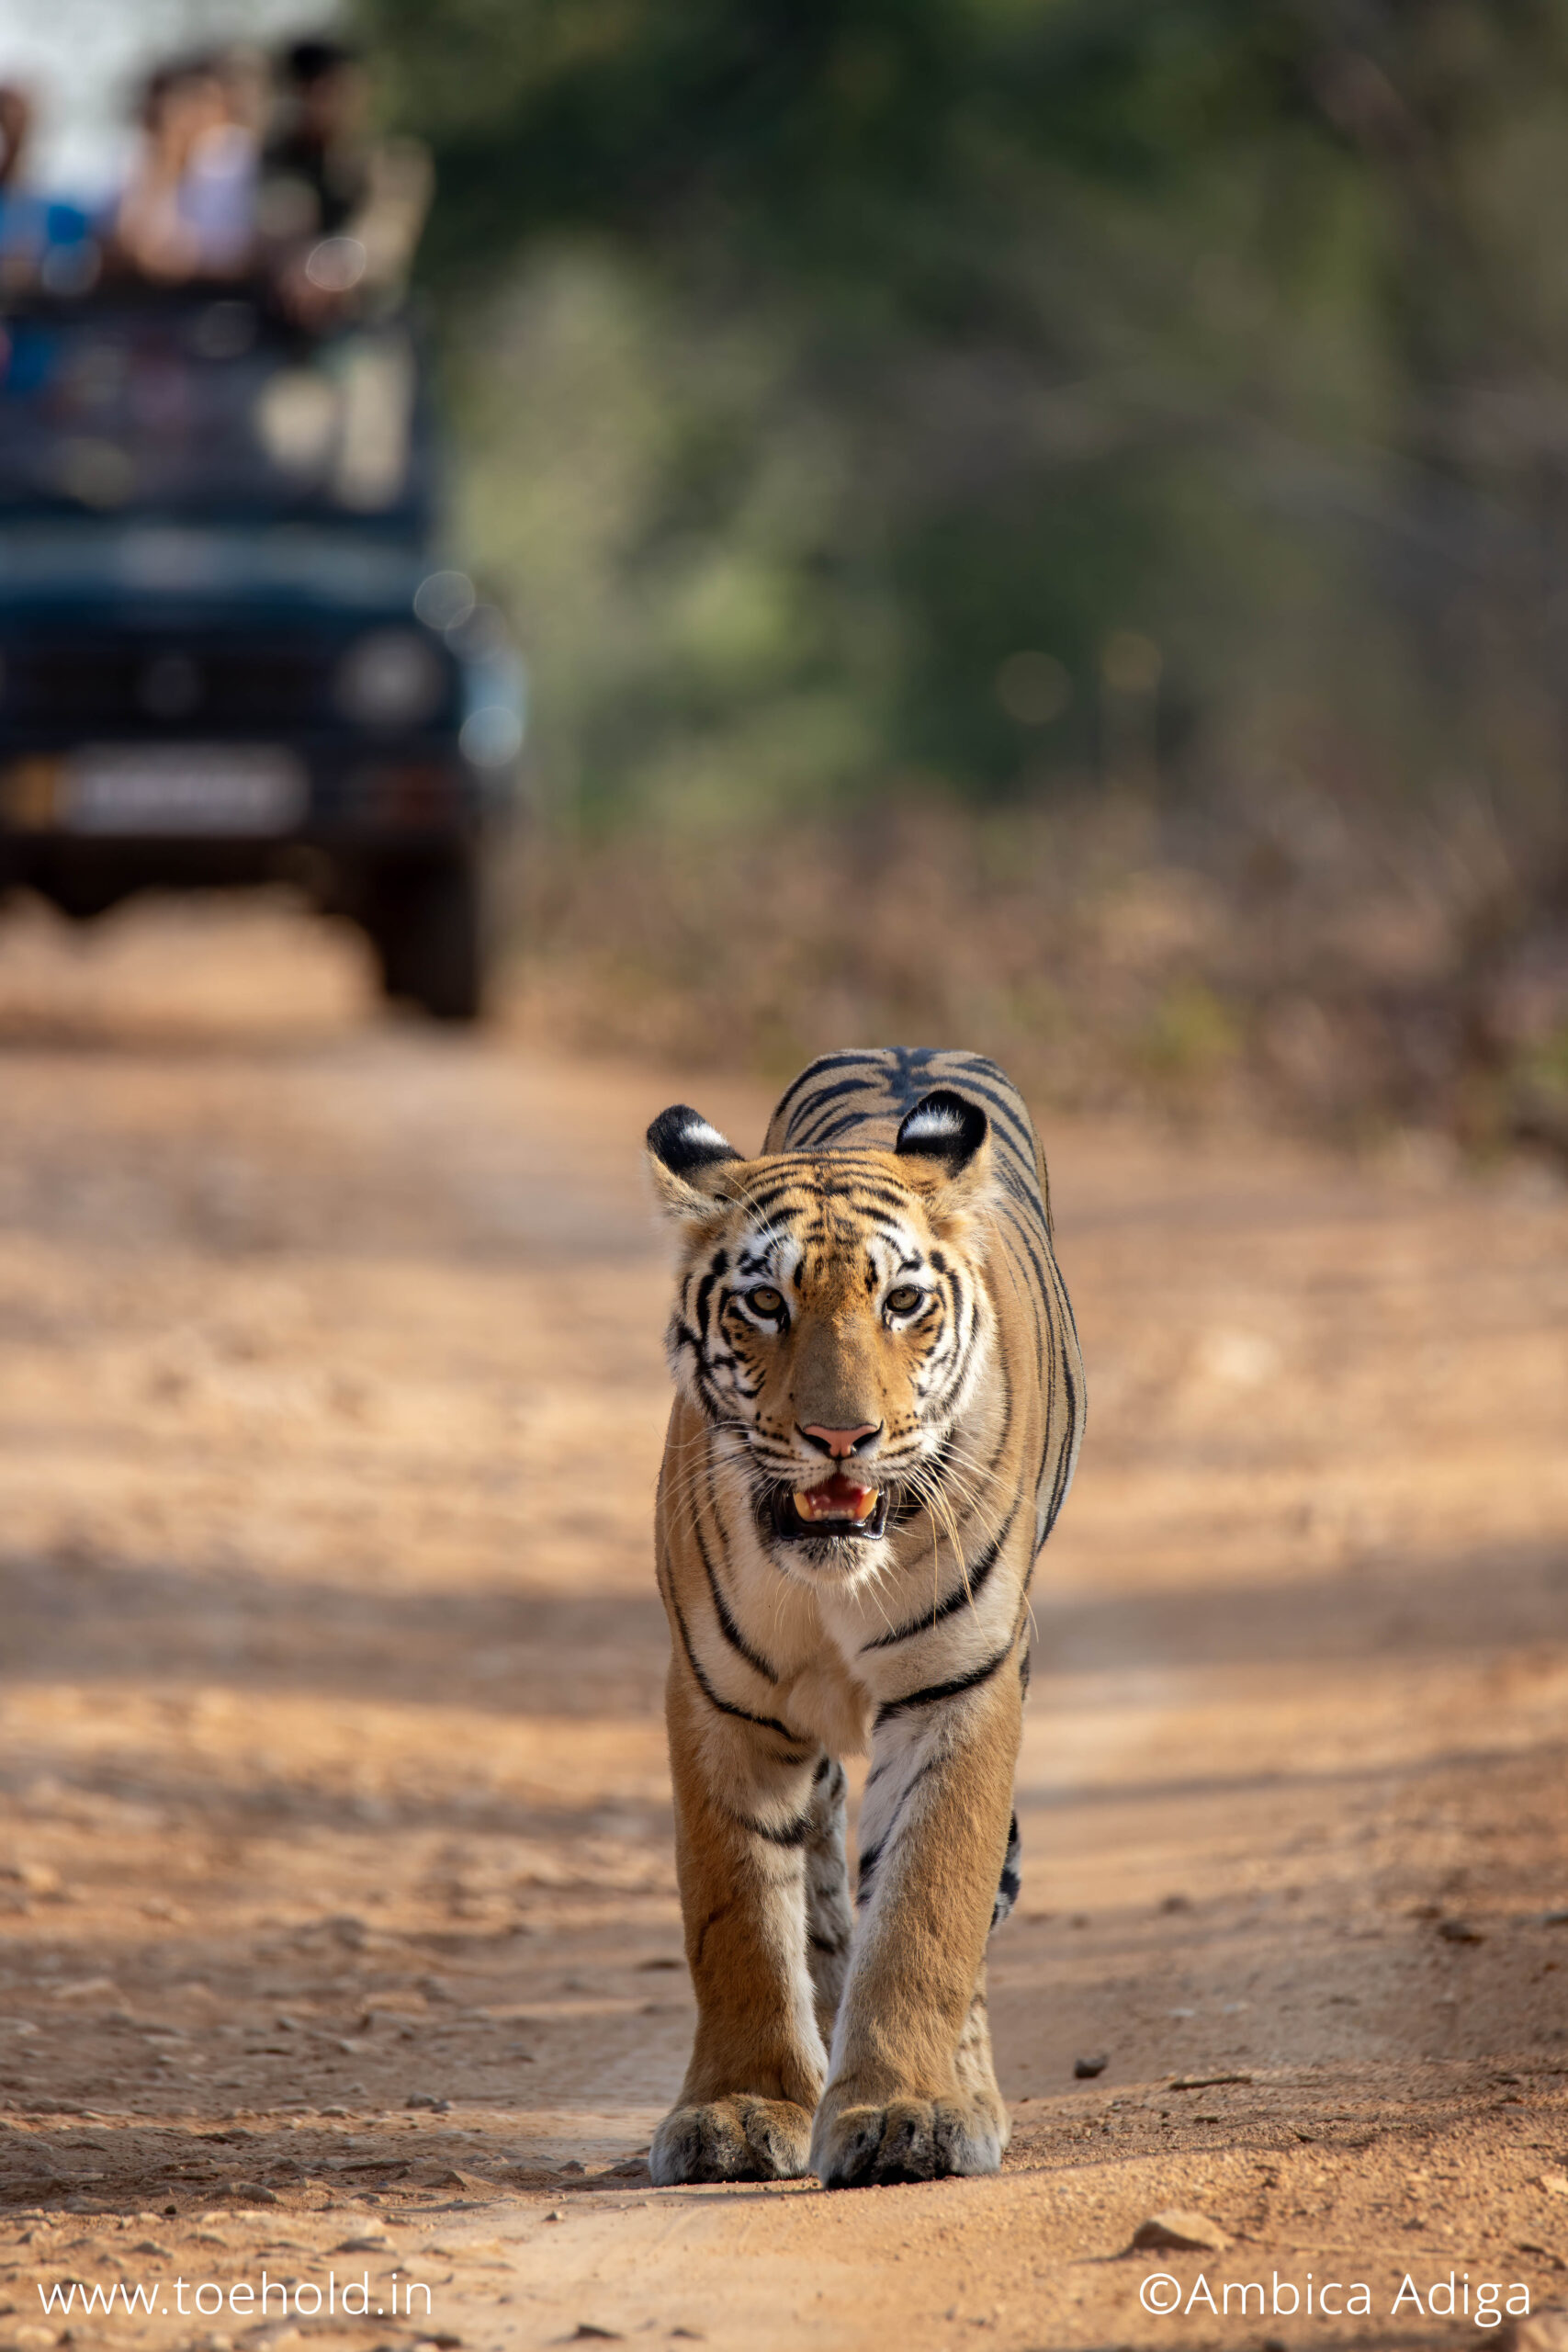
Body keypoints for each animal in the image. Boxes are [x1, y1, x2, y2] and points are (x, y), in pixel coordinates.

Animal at [644, 1047, 1083, 2190]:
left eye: (903, 1301)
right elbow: (739, 1921)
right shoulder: (718, 1699)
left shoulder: (957, 1687)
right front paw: (740, 2109)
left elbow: (927, 1905)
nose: (842, 1436)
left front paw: (905, 2112)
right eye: (763, 1301)